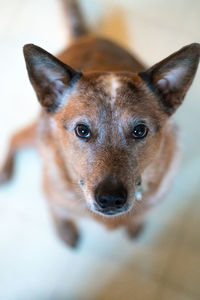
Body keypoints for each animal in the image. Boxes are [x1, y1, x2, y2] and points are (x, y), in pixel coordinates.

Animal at [0, 1, 200, 247]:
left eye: (140, 130)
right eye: (82, 130)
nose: (111, 198)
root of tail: (87, 36)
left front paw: (135, 223)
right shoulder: (52, 195)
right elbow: (56, 211)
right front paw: (63, 229)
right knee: (14, 135)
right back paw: (5, 171)